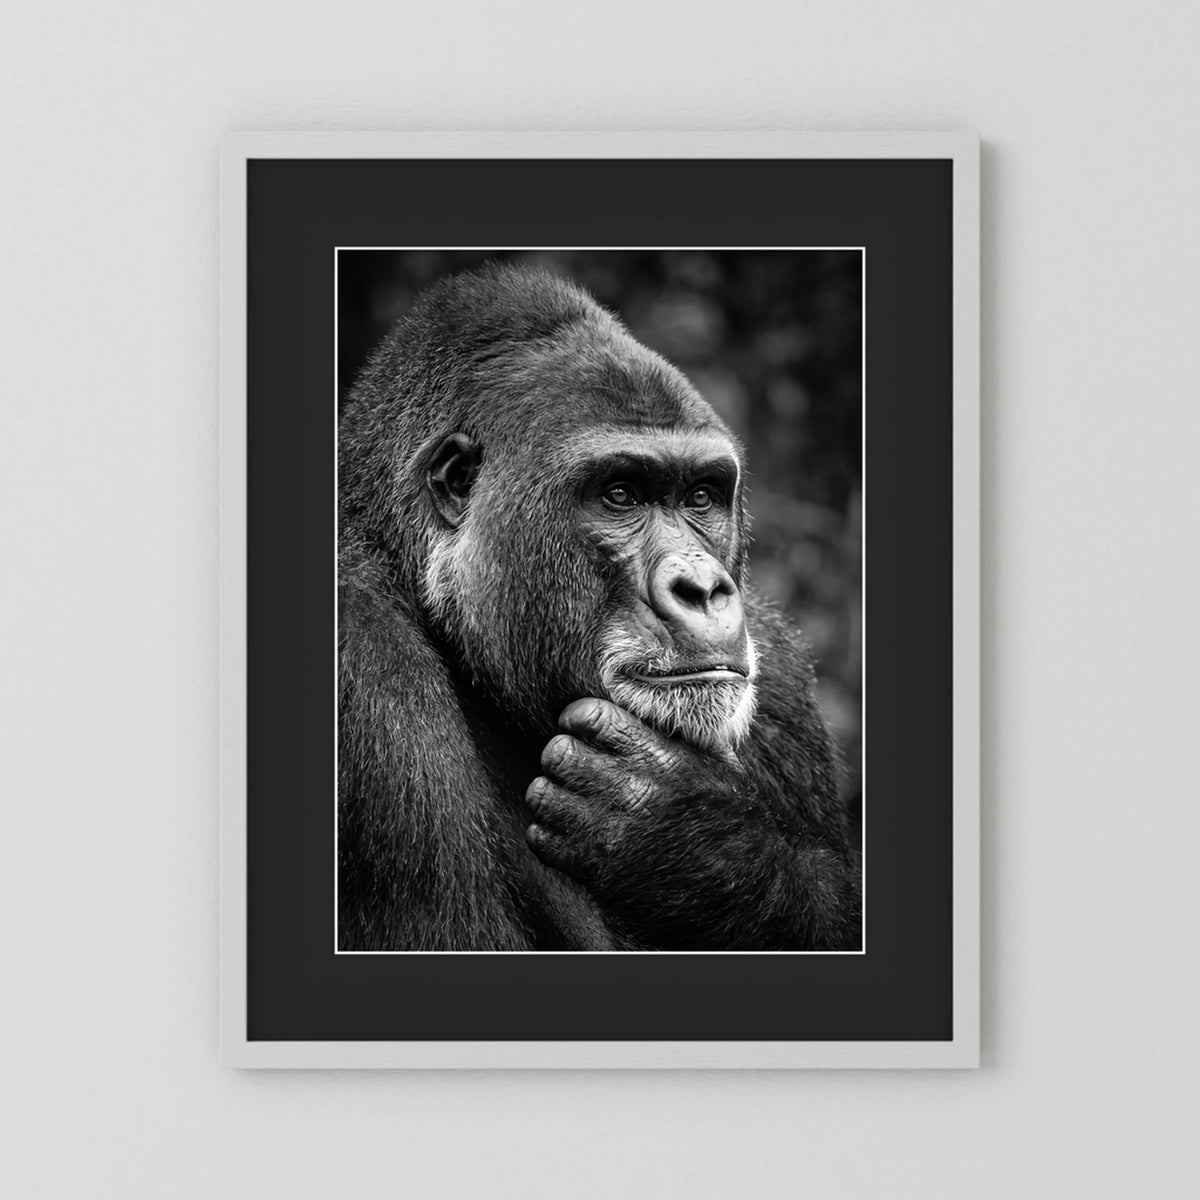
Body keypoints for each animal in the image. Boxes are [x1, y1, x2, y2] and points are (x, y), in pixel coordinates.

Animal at [337, 262, 861, 951]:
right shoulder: (363, 669)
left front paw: (696, 837)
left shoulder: (783, 682)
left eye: (701, 495)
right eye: (620, 495)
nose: (703, 589)